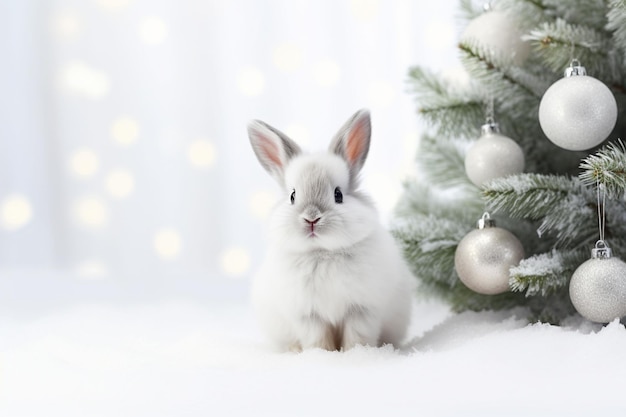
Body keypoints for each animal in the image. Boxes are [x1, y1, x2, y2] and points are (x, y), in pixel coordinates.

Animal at [246, 109, 412, 350]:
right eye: (292, 196)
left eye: (338, 195)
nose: (311, 219)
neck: (322, 252)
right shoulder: (309, 317)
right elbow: (318, 340)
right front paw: (322, 355)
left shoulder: (361, 310)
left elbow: (357, 337)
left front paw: (358, 353)